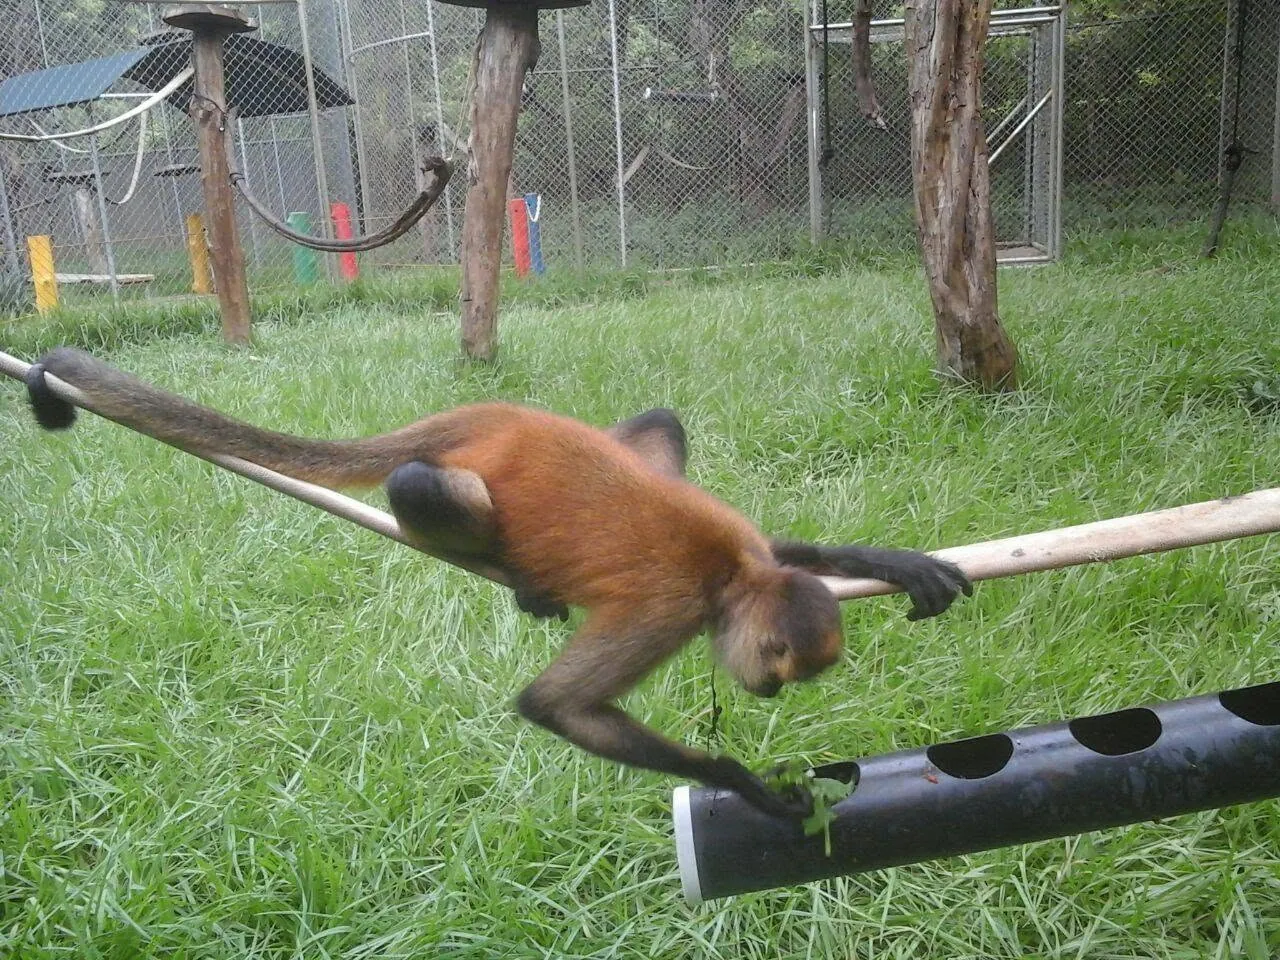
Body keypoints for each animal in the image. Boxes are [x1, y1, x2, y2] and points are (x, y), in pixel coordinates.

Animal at [25, 347, 971, 818]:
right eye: (777, 676)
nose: (769, 700)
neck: (730, 579)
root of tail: (481, 415)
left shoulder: (749, 549)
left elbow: (787, 546)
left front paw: (890, 562)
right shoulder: (673, 610)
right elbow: (555, 706)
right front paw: (744, 786)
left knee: (655, 424)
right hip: (447, 483)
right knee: (414, 485)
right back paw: (517, 574)